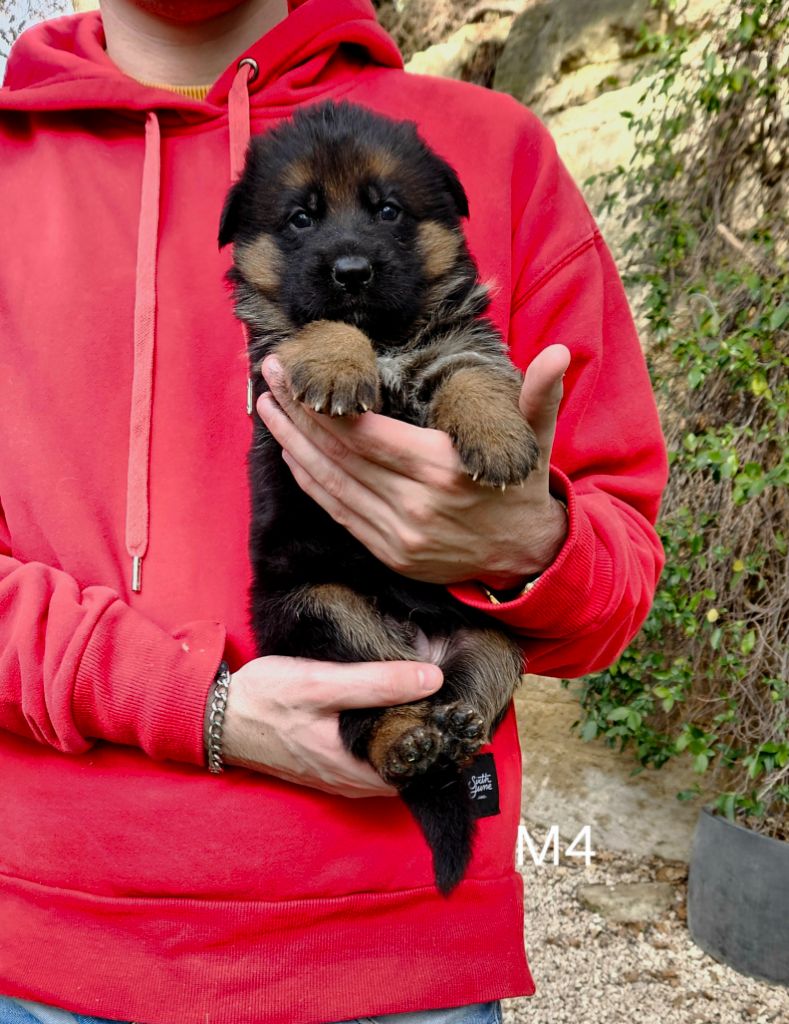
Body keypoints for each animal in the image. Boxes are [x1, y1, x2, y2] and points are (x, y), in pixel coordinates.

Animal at [218, 99, 540, 892]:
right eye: (301, 218)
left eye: (388, 209)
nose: (351, 271)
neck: (387, 336)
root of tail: (419, 639)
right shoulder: (272, 357)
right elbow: (320, 325)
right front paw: (339, 364)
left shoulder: (460, 337)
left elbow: (471, 371)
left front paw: (499, 437)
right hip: (328, 611)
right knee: (368, 715)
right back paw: (408, 742)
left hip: (494, 640)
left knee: (464, 690)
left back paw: (453, 725)